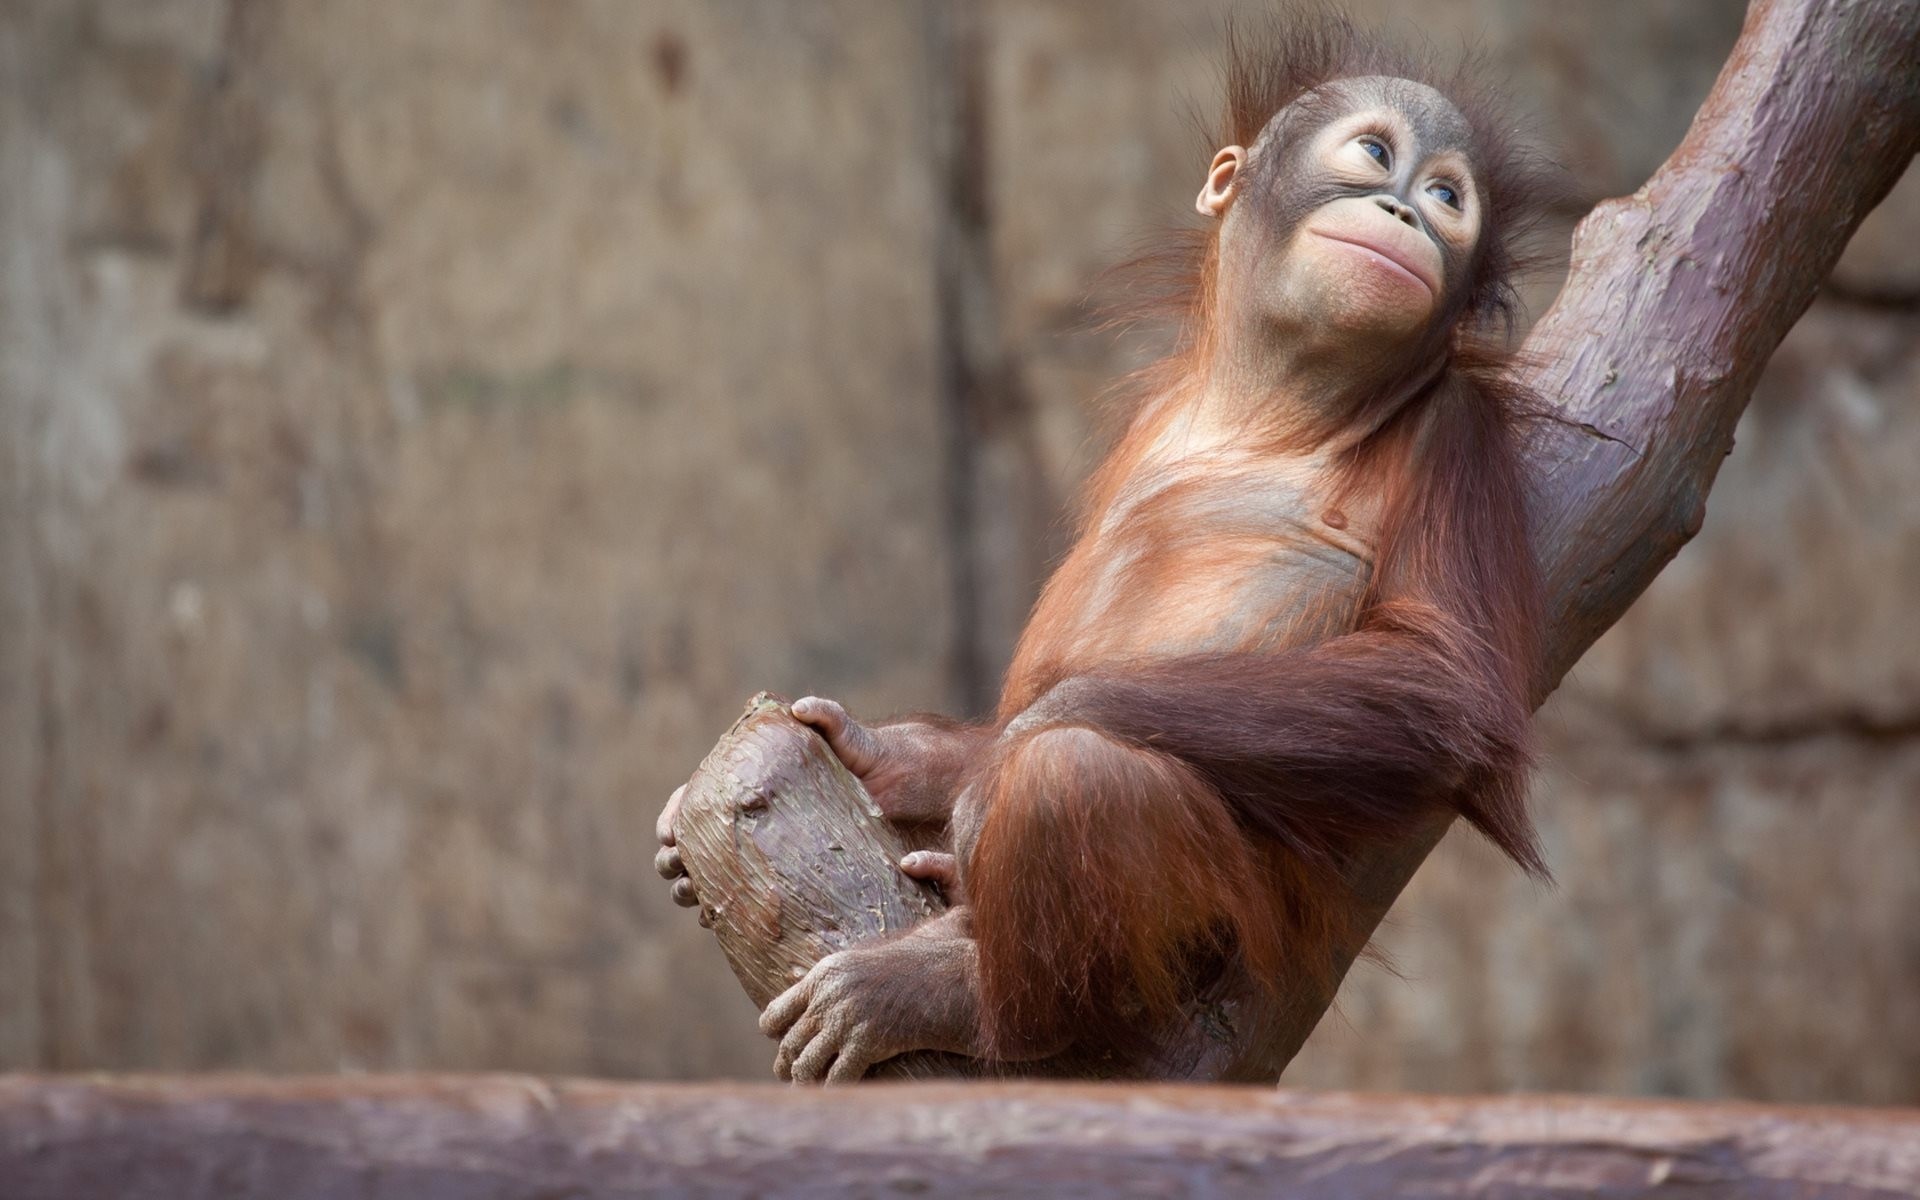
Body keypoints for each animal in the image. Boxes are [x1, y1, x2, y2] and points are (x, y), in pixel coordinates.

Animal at [656, 14, 1556, 1083]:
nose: (1403, 211)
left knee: (1073, 782)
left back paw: (955, 990)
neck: (1271, 405)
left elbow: (1442, 675)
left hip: (1231, 934)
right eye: (1377, 155)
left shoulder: (1458, 436)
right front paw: (884, 755)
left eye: (1449, 198)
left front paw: (990, 773)